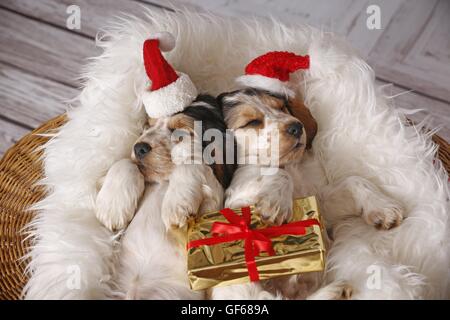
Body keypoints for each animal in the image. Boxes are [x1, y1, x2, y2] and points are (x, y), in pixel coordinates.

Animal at [213, 87, 406, 300]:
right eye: (252, 122)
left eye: (281, 107)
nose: (296, 127)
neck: (292, 166)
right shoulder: (237, 199)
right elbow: (278, 174)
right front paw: (276, 206)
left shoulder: (319, 203)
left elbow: (354, 181)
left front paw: (385, 209)